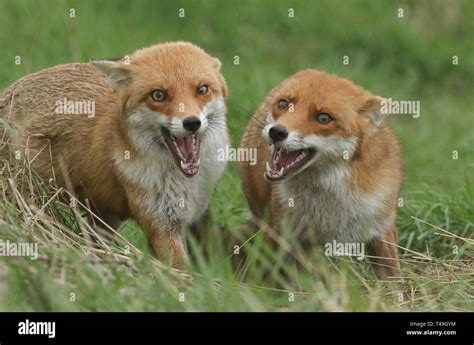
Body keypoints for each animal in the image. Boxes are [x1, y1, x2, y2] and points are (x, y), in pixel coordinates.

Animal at [0, 41, 230, 266]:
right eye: (158, 95)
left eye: (202, 89)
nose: (191, 123)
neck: (185, 181)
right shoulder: (162, 224)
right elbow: (180, 270)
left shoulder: (194, 216)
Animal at [239, 70, 402, 280]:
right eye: (283, 104)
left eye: (323, 118)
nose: (277, 131)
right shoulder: (279, 230)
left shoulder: (382, 231)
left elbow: (394, 281)